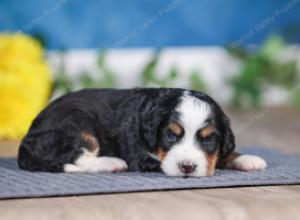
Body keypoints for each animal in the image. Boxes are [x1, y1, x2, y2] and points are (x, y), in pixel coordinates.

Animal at [18, 88, 268, 176]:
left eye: (208, 140)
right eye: (170, 135)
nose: (187, 167)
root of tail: (26, 142)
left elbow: (222, 154)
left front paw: (247, 159)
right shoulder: (140, 156)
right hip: (76, 125)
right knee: (77, 158)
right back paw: (112, 163)